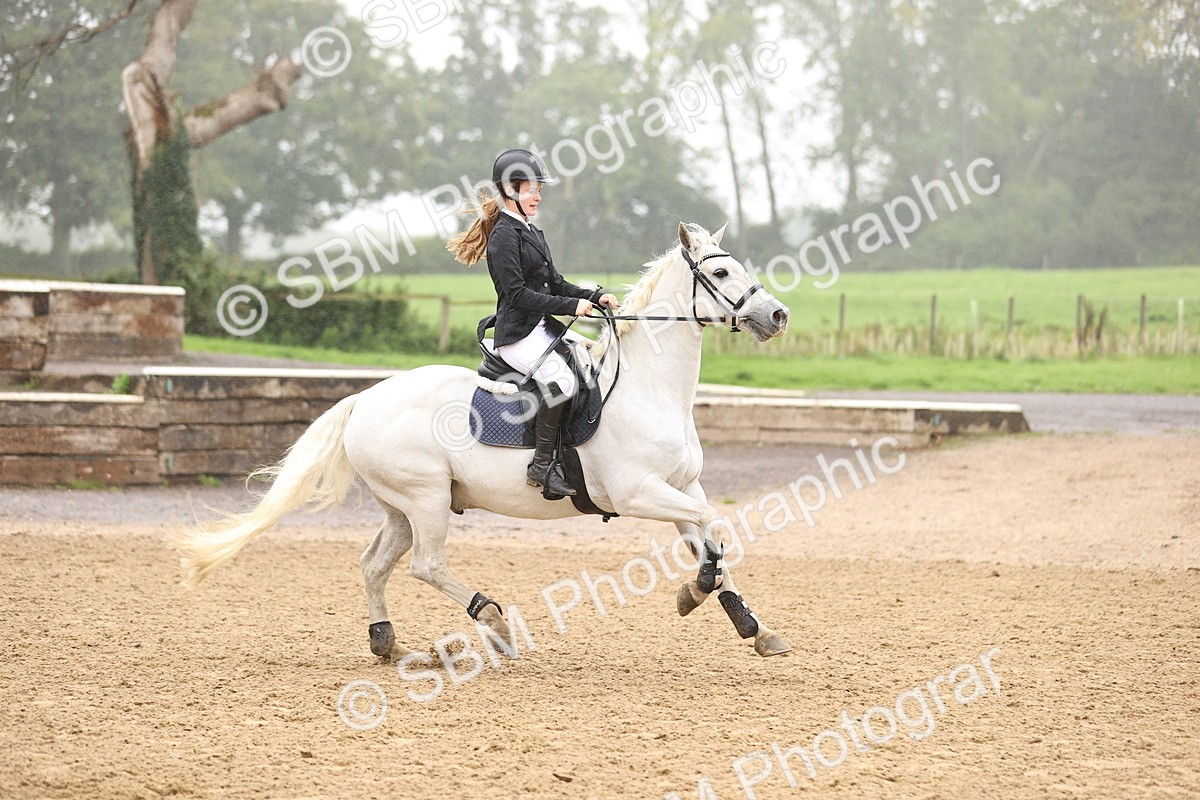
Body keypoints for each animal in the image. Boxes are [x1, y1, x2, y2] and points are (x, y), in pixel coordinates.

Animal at [171, 221, 793, 659]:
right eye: (722, 274)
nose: (779, 316)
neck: (649, 388)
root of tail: (364, 399)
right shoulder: (637, 492)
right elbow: (713, 527)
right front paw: (697, 592)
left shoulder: (681, 486)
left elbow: (711, 535)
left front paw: (751, 625)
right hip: (424, 498)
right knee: (425, 565)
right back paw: (493, 622)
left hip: (405, 506)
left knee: (375, 564)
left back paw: (388, 642)